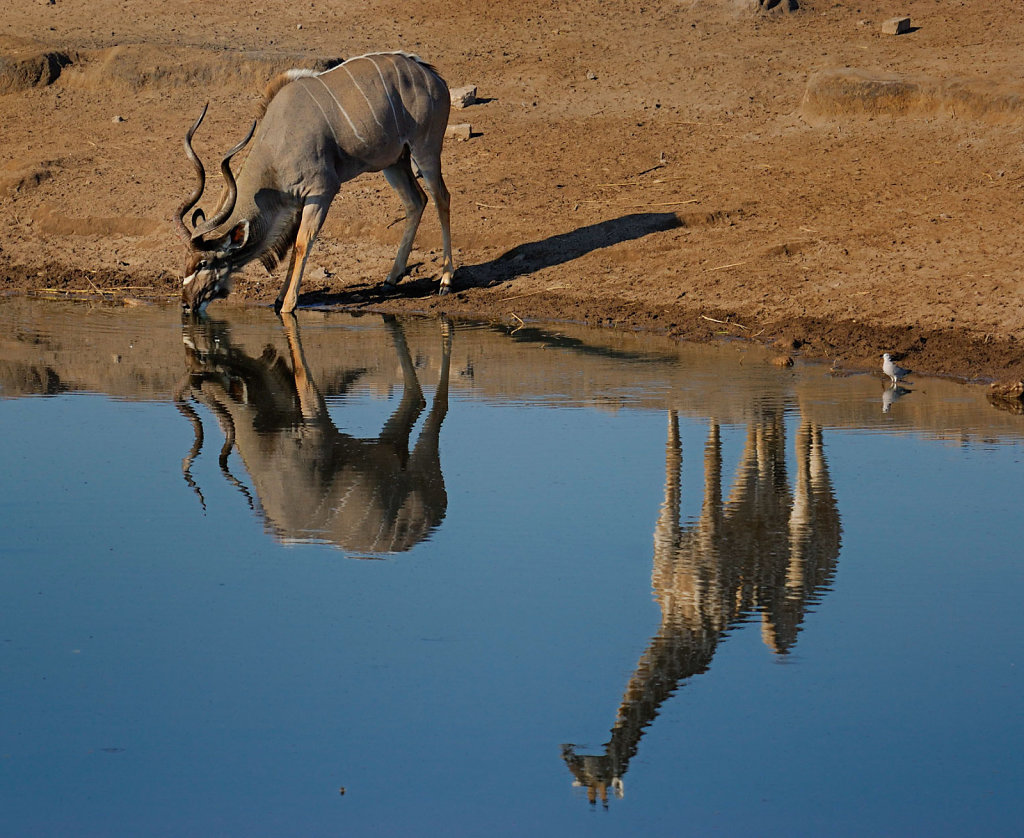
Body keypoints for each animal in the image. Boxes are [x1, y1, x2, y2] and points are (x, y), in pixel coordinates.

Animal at [174, 52, 454, 313]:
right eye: (186, 261)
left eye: (203, 263)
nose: (187, 304)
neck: (277, 144)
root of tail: (433, 77)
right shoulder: (298, 201)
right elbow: (293, 246)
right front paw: (279, 298)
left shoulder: (322, 190)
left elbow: (302, 242)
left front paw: (288, 305)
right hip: (395, 162)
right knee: (416, 201)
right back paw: (391, 278)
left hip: (425, 149)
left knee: (441, 197)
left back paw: (445, 281)